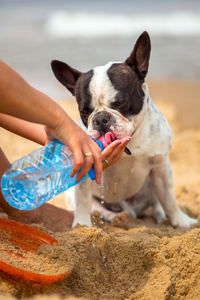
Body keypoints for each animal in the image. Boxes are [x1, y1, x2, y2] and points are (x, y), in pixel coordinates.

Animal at [50, 31, 198, 229]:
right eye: (85, 111)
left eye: (120, 102)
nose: (101, 119)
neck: (131, 142)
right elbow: (82, 200)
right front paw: (82, 225)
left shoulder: (161, 166)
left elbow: (169, 199)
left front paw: (182, 222)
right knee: (99, 210)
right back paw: (116, 218)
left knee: (157, 202)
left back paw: (159, 217)